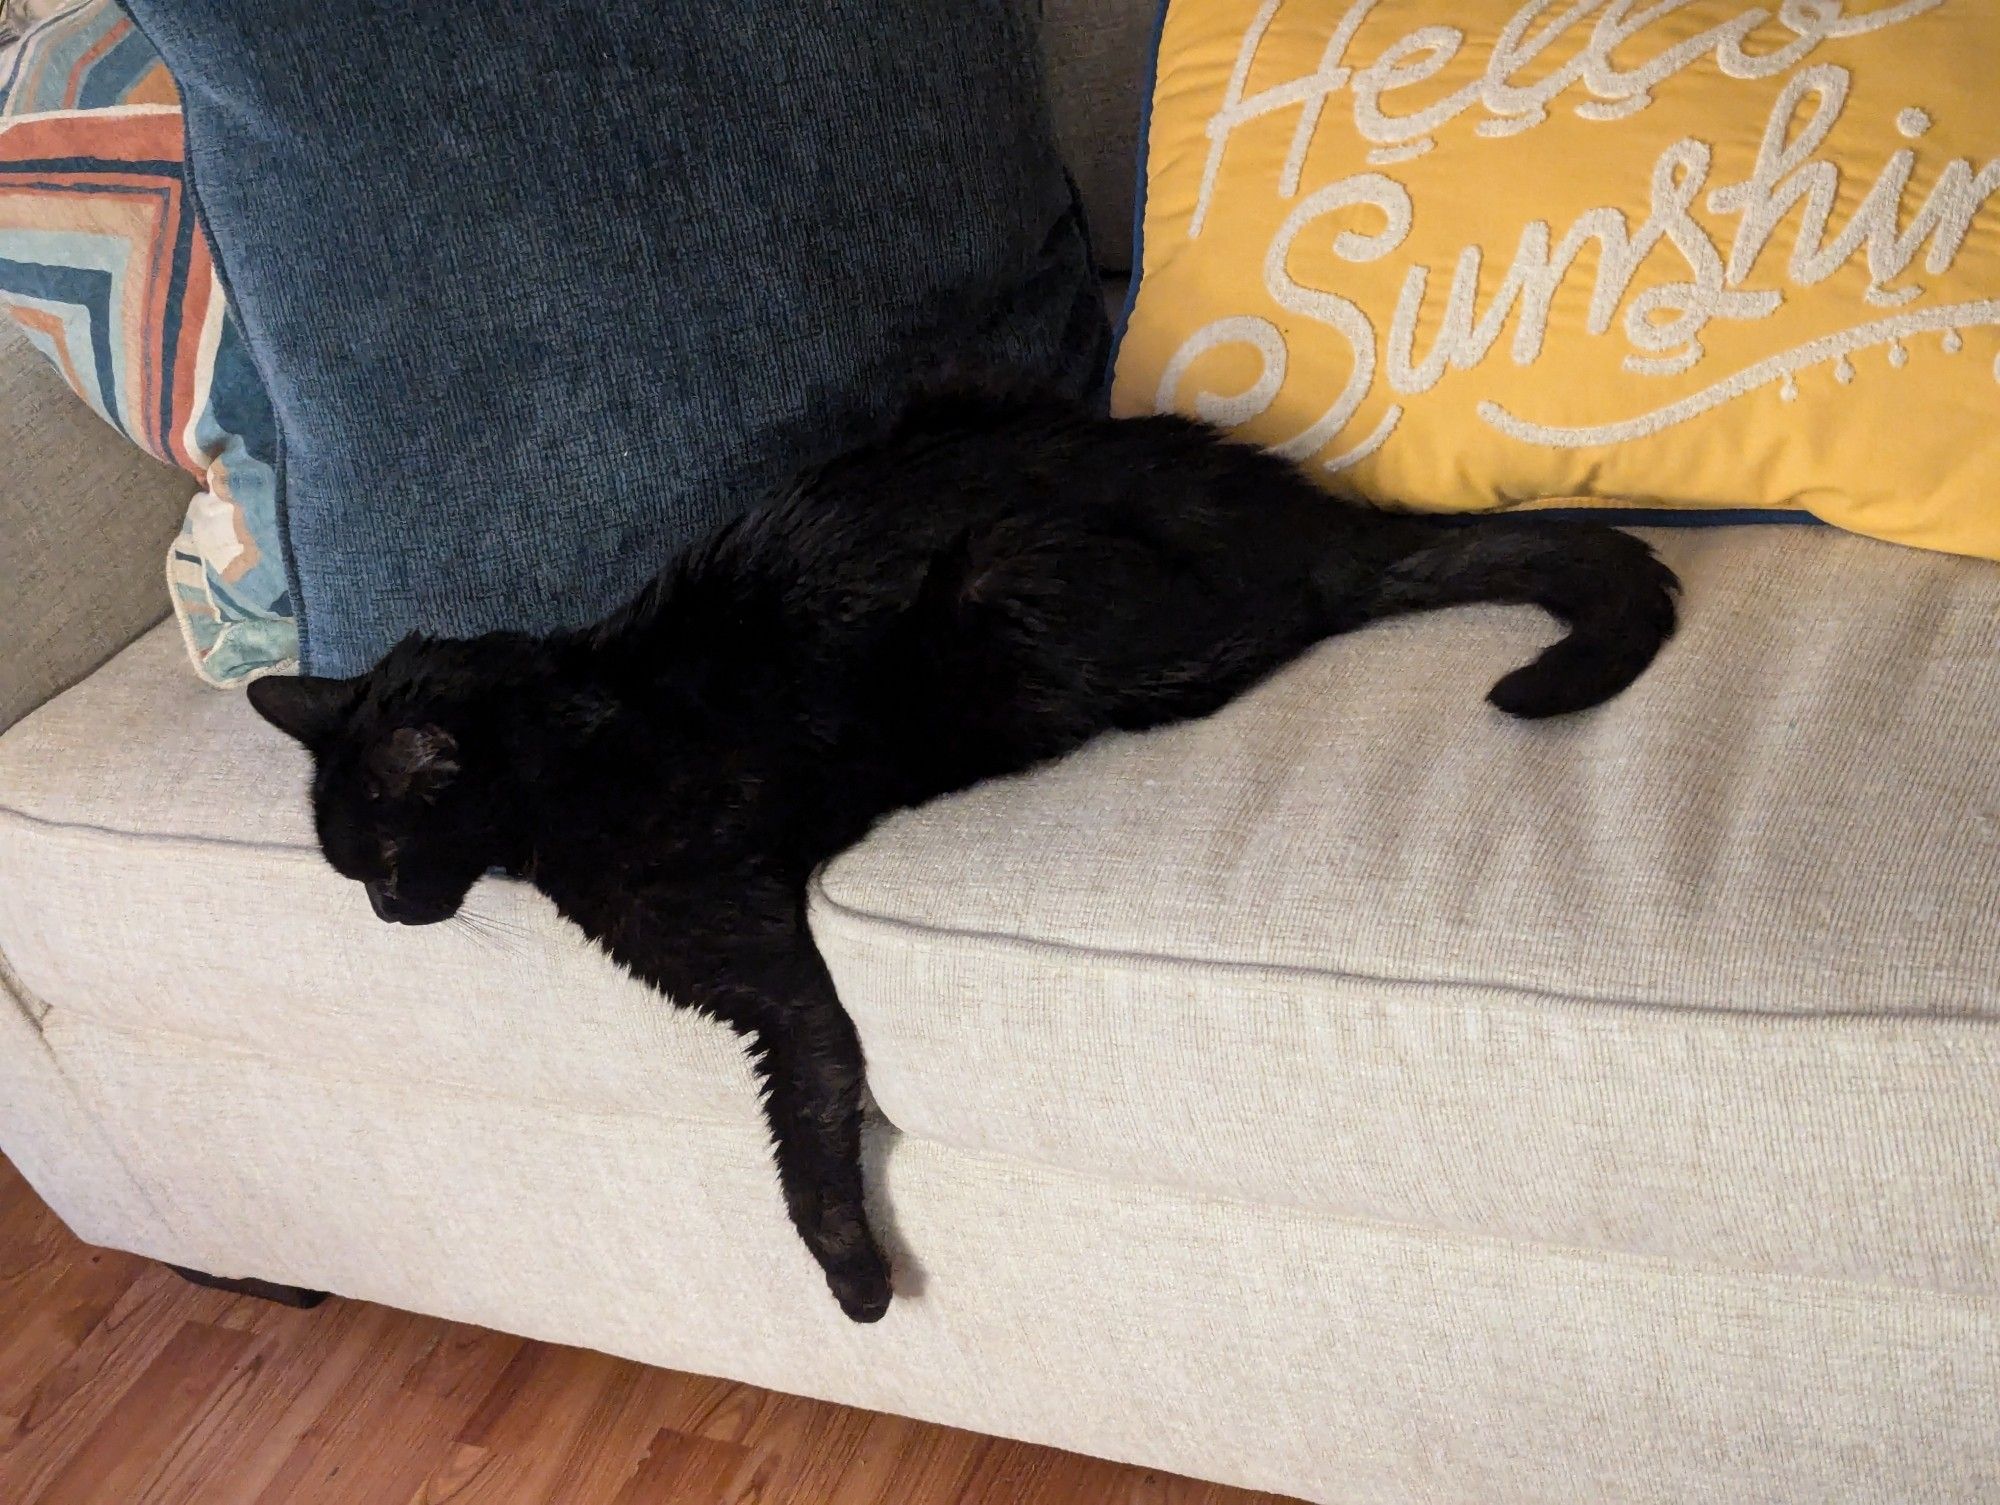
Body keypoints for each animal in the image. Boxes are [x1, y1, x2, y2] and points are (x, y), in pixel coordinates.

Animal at [254, 394, 1688, 1320]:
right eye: (352, 872)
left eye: (387, 857)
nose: (384, 919)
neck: (577, 731)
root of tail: (1324, 519)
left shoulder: (766, 975)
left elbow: (806, 1128)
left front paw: (855, 1284)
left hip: (1012, 590)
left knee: (1279, 627)